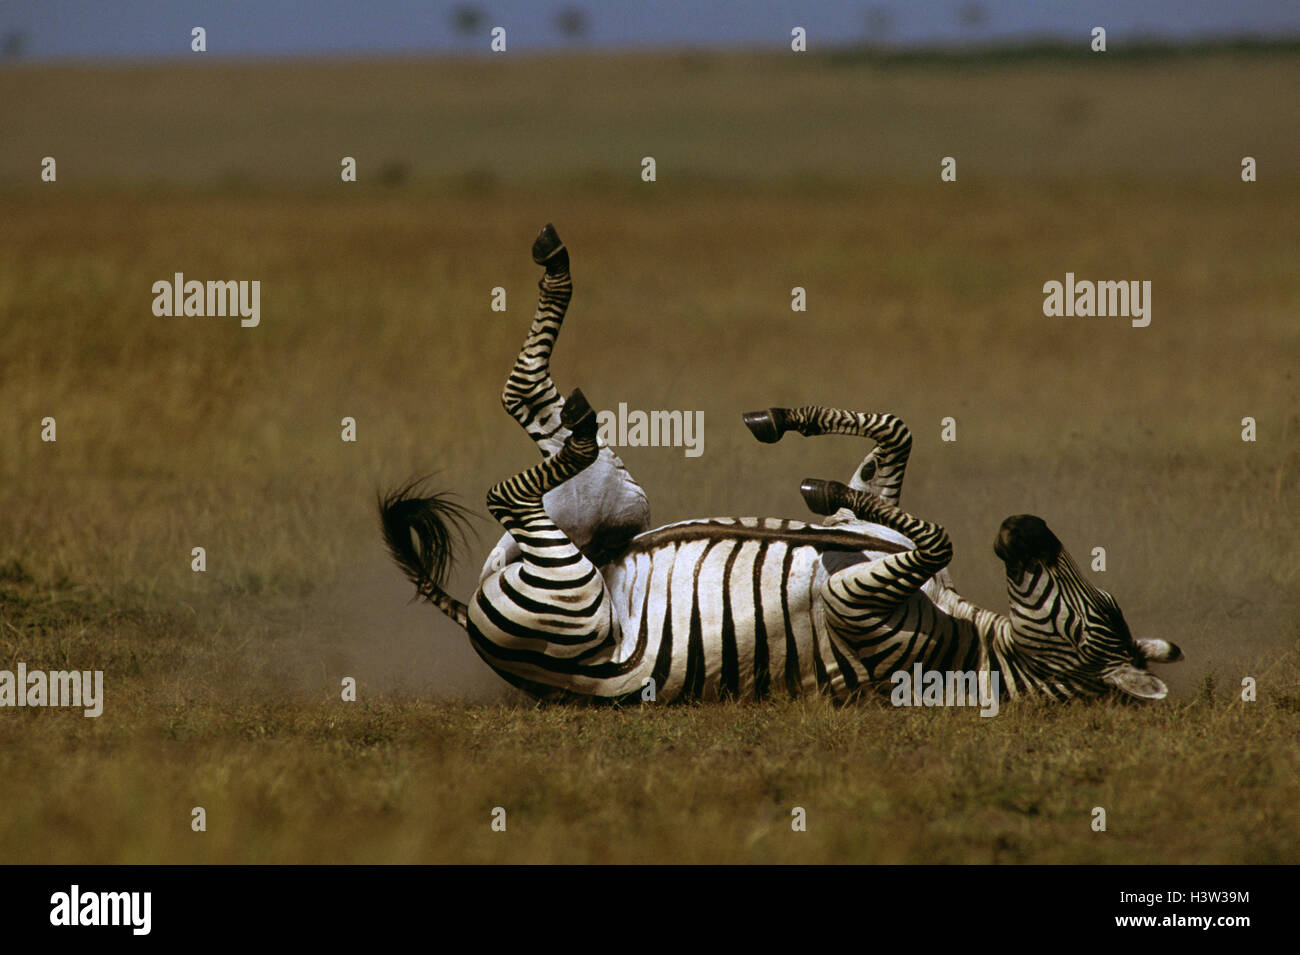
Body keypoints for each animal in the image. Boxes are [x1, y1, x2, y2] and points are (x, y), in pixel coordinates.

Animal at [379, 222, 1190, 701]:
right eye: (1097, 603)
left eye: (1086, 622)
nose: (1026, 525)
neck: (973, 641)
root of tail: (469, 612)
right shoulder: (876, 535)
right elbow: (897, 435)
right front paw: (790, 431)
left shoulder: (854, 608)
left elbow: (935, 534)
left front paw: (822, 482)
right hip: (612, 505)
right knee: (526, 399)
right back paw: (555, 269)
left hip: (566, 592)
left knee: (509, 489)